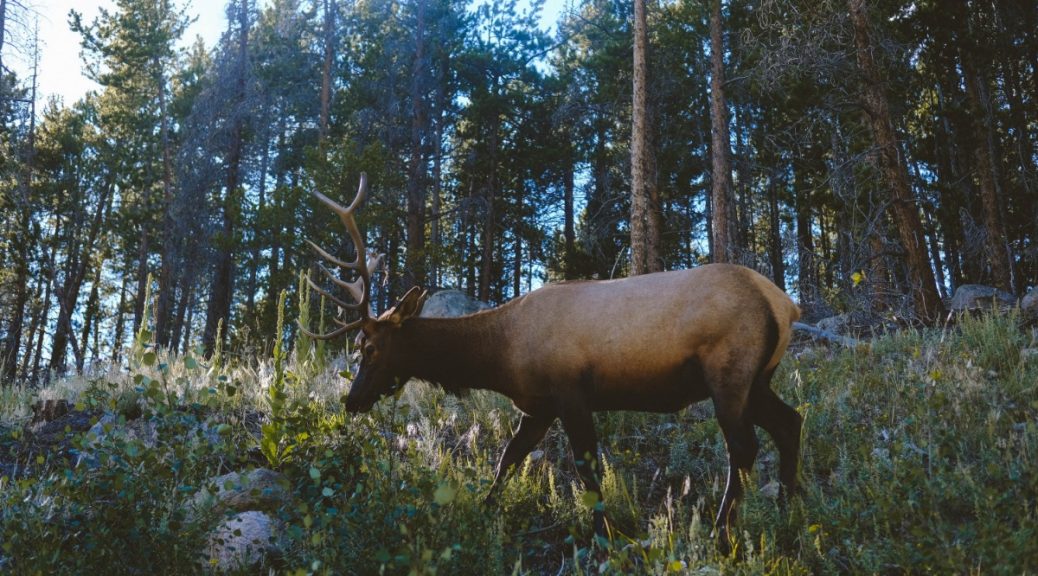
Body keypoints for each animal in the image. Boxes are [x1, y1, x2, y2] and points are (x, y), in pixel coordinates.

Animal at [301, 175, 801, 556]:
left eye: (368, 348)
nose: (352, 401)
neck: (500, 357)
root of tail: (785, 304)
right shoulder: (537, 405)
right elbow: (508, 458)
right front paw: (484, 511)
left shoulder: (570, 394)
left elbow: (587, 470)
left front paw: (605, 537)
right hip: (759, 379)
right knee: (790, 422)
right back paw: (788, 509)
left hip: (729, 374)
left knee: (744, 446)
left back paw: (722, 533)